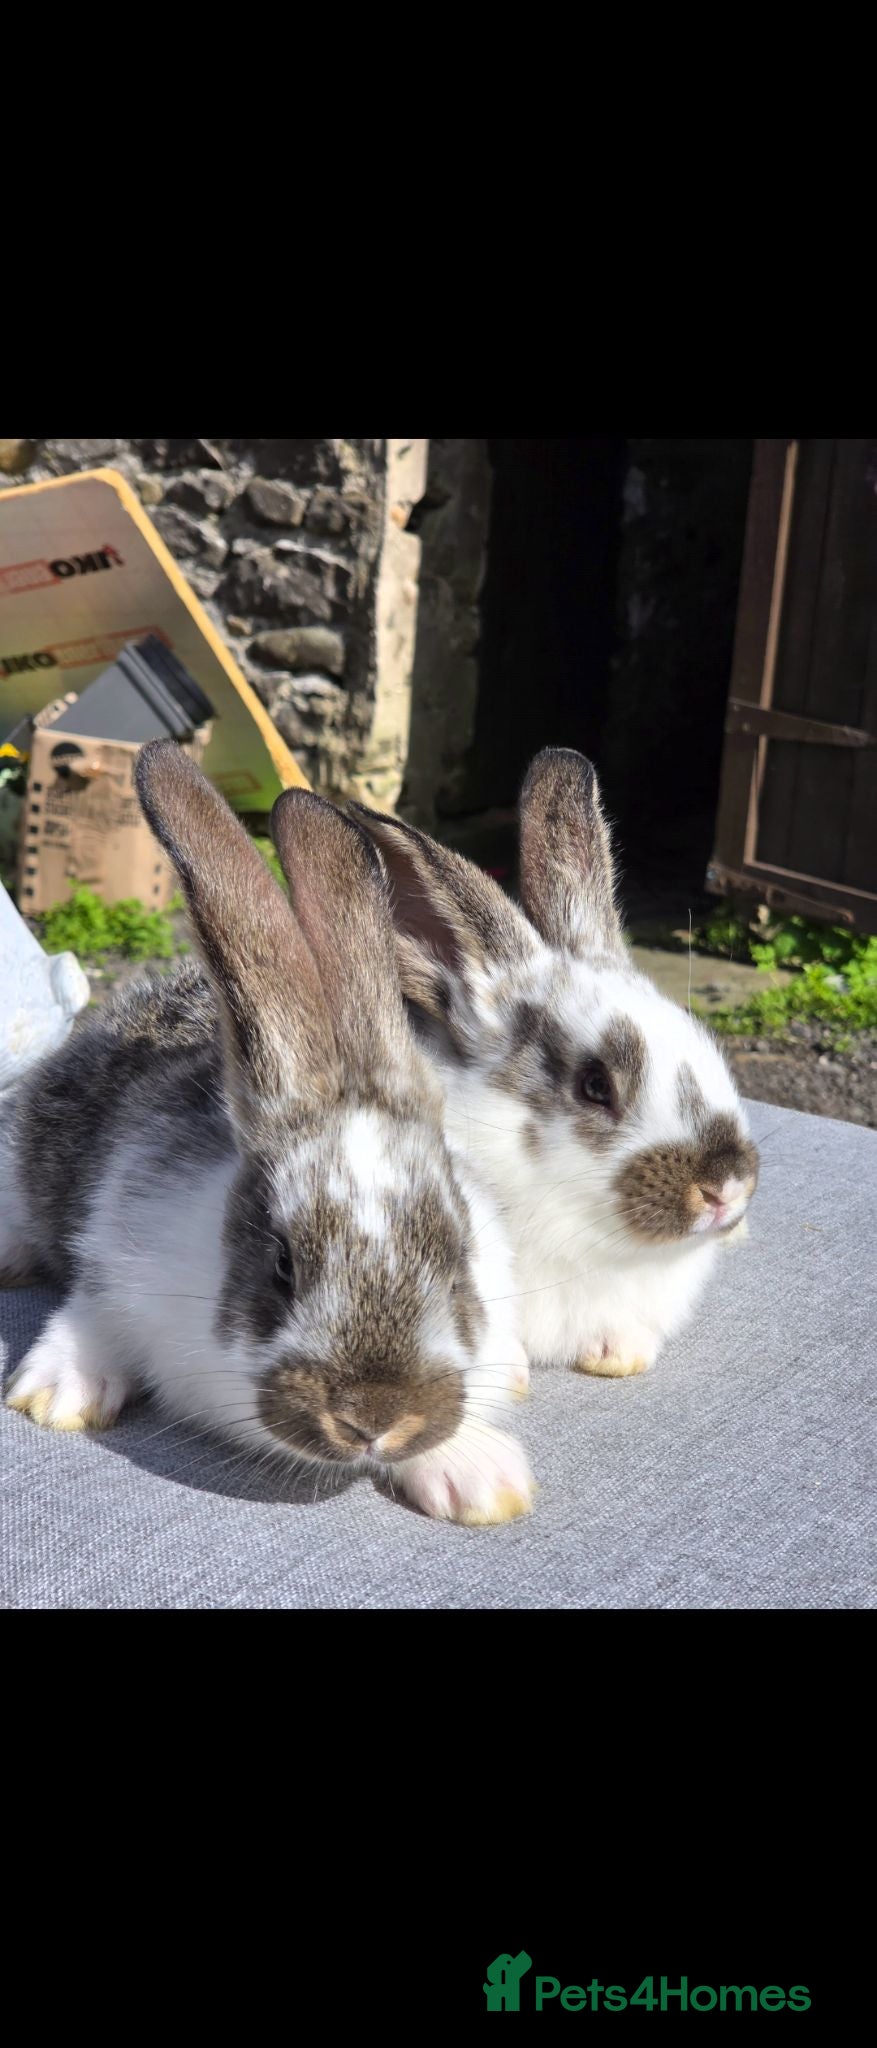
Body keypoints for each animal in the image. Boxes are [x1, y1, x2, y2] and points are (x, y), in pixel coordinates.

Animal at [1, 740, 534, 1526]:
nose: (374, 1419)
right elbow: (91, 1314)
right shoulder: (116, 1248)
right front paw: (60, 1394)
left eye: (457, 1256)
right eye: (282, 1264)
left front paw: (482, 1478)